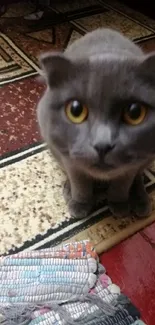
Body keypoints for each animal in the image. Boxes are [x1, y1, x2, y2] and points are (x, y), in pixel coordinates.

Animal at [36, 27, 155, 219]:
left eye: (135, 113)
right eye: (75, 111)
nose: (102, 145)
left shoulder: (133, 164)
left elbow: (123, 182)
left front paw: (119, 205)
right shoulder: (69, 158)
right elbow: (80, 182)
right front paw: (80, 204)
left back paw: (141, 201)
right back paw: (68, 190)